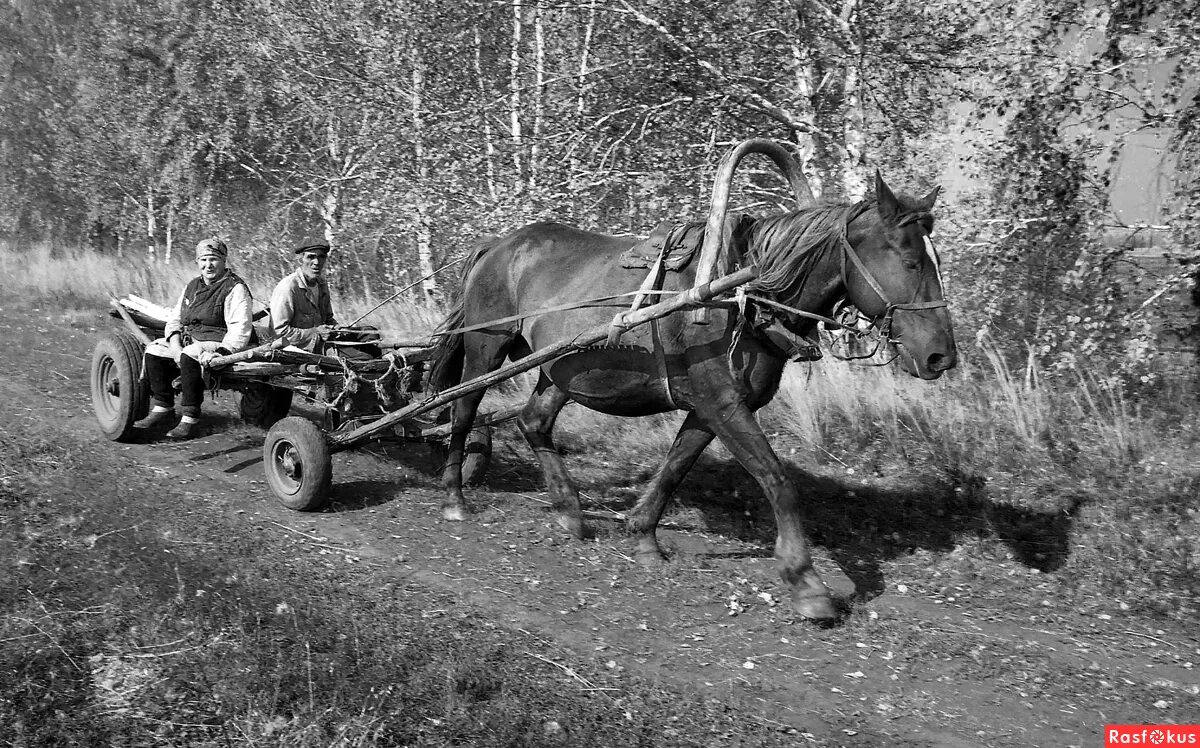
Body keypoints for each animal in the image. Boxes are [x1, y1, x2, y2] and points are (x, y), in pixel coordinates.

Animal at [432, 171, 955, 619]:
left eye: (935, 262)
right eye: (910, 261)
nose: (940, 357)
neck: (738, 295)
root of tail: (499, 244)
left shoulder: (711, 408)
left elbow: (675, 468)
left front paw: (643, 536)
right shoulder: (722, 405)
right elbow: (777, 480)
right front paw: (805, 581)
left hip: (562, 367)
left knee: (534, 421)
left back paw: (570, 512)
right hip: (486, 349)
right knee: (462, 410)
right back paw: (455, 496)